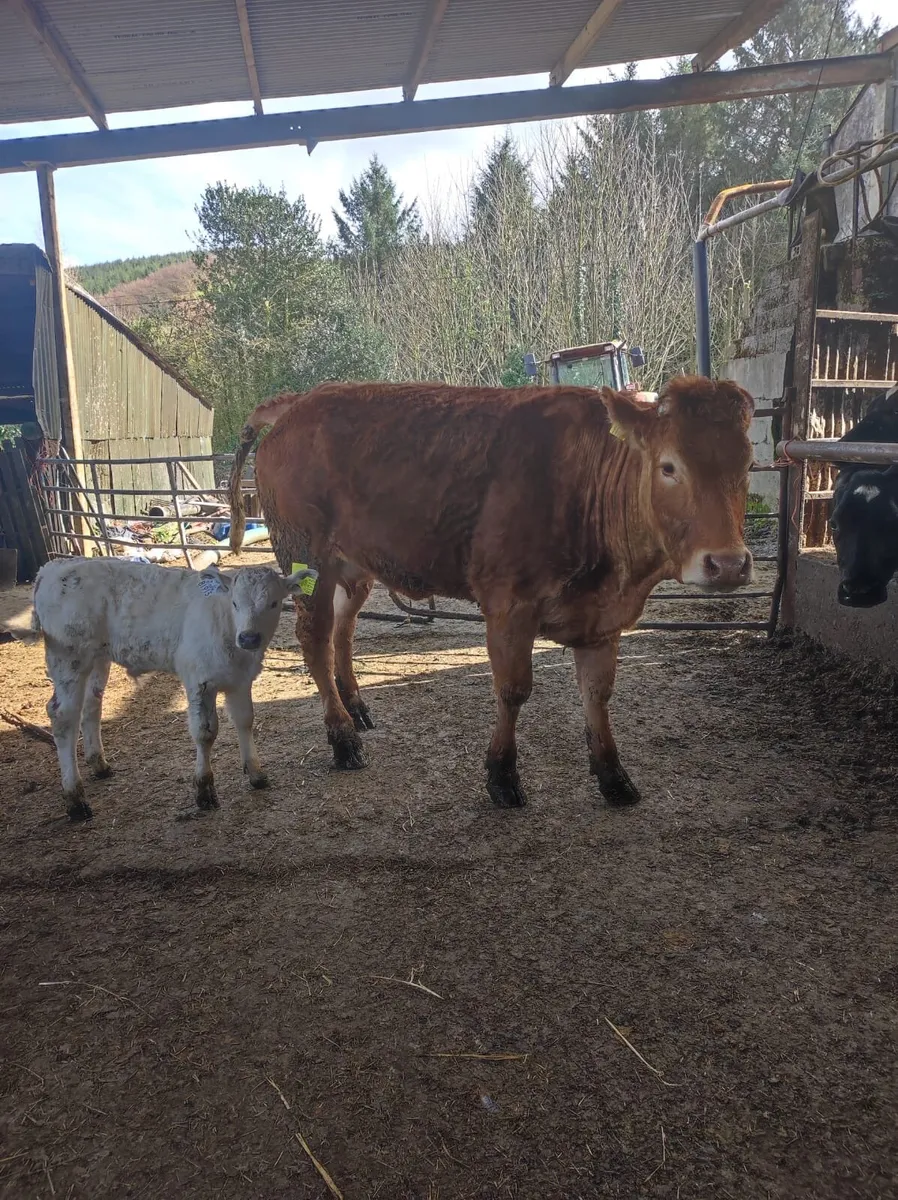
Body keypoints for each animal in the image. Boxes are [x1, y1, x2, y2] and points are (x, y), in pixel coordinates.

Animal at [30, 557, 317, 821]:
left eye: (274, 603)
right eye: (235, 603)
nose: (248, 638)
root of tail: (51, 567)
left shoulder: (241, 679)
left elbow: (245, 721)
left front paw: (256, 774)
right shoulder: (198, 678)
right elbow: (205, 733)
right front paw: (204, 790)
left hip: (98, 658)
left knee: (92, 705)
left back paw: (99, 765)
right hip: (68, 656)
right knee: (63, 717)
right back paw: (75, 799)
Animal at [227, 377, 755, 809]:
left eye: (749, 463)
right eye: (669, 467)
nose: (728, 563)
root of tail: (302, 400)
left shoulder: (601, 621)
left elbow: (597, 694)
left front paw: (613, 776)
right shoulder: (509, 605)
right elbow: (513, 690)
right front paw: (502, 775)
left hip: (353, 569)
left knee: (343, 629)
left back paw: (356, 708)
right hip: (306, 558)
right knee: (315, 638)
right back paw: (342, 738)